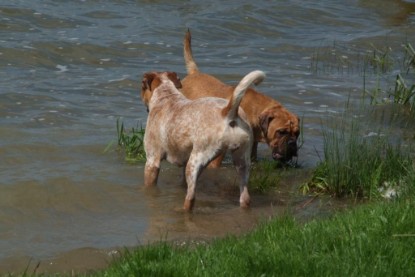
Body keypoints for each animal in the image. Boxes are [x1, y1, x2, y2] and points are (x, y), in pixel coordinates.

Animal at [141, 70, 266, 210]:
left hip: (195, 161)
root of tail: (227, 112)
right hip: (242, 161)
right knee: (245, 197)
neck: (166, 96)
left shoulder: (152, 161)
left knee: (191, 198)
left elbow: (149, 184)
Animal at [181, 29, 300, 166]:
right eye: (281, 132)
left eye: (297, 133)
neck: (255, 111)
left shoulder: (252, 146)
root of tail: (194, 73)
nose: (292, 143)